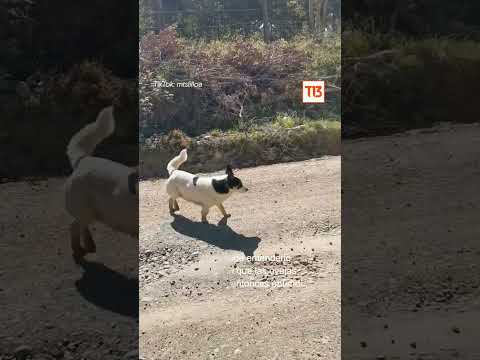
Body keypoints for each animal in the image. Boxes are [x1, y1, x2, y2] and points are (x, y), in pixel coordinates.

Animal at [64, 106, 138, 262]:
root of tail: (83, 159)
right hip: (84, 208)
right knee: (74, 226)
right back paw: (77, 250)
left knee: (81, 226)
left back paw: (89, 244)